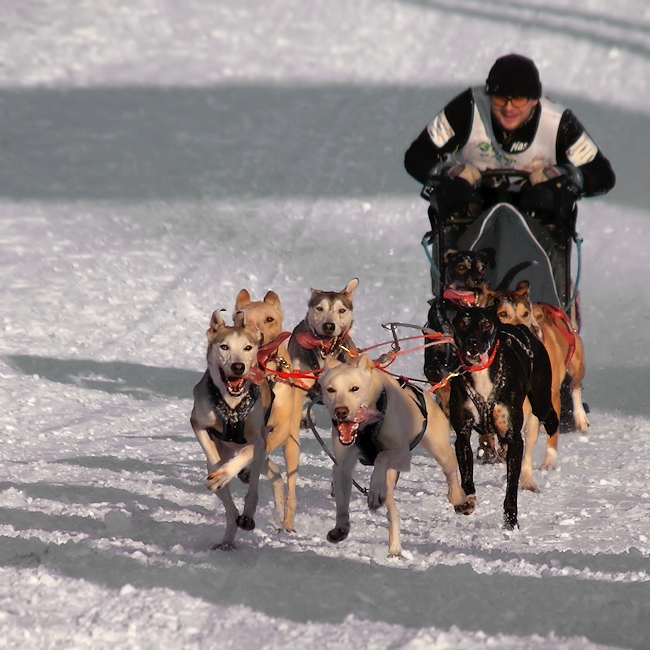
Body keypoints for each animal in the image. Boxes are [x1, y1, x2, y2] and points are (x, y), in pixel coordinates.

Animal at [189, 308, 270, 548]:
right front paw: (219, 473)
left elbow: (247, 450)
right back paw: (228, 537)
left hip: (261, 456)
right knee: (230, 510)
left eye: (247, 347)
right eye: (224, 346)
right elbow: (212, 456)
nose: (238, 366)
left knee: (252, 491)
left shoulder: (259, 439)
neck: (232, 405)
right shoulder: (198, 423)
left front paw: (227, 472)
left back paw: (247, 516)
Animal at [233, 290, 304, 532]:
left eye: (269, 319)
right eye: (241, 318)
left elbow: (263, 448)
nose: (257, 338)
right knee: (275, 474)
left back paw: (288, 521)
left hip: (292, 447)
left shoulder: (280, 430)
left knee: (290, 487)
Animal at [318, 352, 466, 556]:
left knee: (450, 471)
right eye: (331, 389)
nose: (341, 411)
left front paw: (374, 490)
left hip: (439, 450)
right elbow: (341, 499)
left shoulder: (403, 455)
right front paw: (341, 527)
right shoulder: (343, 464)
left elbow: (382, 457)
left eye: (354, 388)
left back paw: (457, 497)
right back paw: (394, 546)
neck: (366, 428)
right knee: (393, 512)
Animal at [446, 302, 556, 528]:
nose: (473, 343)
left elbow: (511, 486)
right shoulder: (462, 434)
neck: (481, 372)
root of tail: (521, 328)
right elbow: (466, 473)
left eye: (486, 323)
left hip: (541, 402)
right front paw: (467, 500)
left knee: (549, 417)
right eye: (463, 323)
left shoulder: (515, 438)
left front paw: (511, 520)